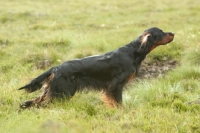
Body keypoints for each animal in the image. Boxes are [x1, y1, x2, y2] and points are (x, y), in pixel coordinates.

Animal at [18, 27, 175, 108]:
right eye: (161, 32)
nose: (173, 33)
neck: (133, 52)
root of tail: (55, 68)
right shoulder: (116, 85)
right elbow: (118, 102)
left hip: (55, 91)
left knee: (34, 101)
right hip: (61, 92)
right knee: (43, 104)